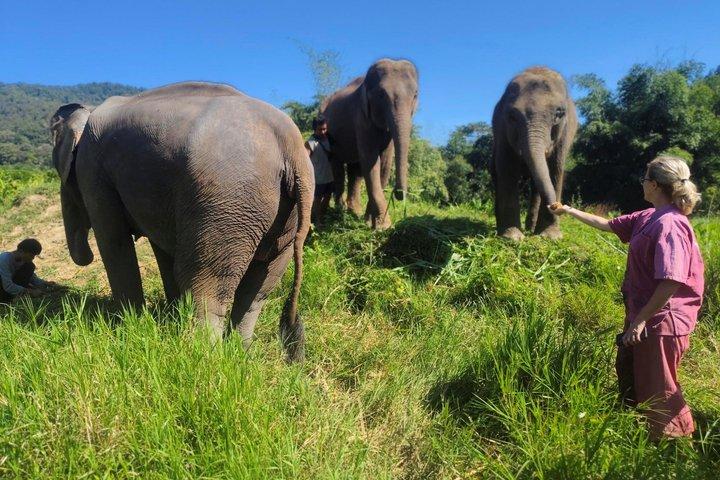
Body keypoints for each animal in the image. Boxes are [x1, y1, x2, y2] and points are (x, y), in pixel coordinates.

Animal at [49, 82, 313, 362]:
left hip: (226, 199)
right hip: (280, 216)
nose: (84, 255)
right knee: (260, 285)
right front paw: (169, 319)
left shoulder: (93, 169)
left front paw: (128, 326)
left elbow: (114, 242)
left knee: (204, 280)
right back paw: (239, 353)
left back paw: (202, 354)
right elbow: (162, 250)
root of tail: (291, 148)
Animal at [321, 59, 418, 229]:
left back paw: (354, 212)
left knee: (355, 171)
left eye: (415, 95)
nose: (399, 193)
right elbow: (371, 160)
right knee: (338, 169)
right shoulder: (361, 118)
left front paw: (368, 222)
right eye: (381, 95)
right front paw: (383, 227)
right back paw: (340, 211)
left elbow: (385, 164)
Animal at [490, 66, 578, 241]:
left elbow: (555, 170)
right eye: (512, 116)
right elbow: (507, 168)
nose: (556, 206)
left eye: (559, 113)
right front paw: (512, 237)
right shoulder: (501, 127)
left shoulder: (565, 134)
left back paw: (531, 229)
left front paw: (550, 237)